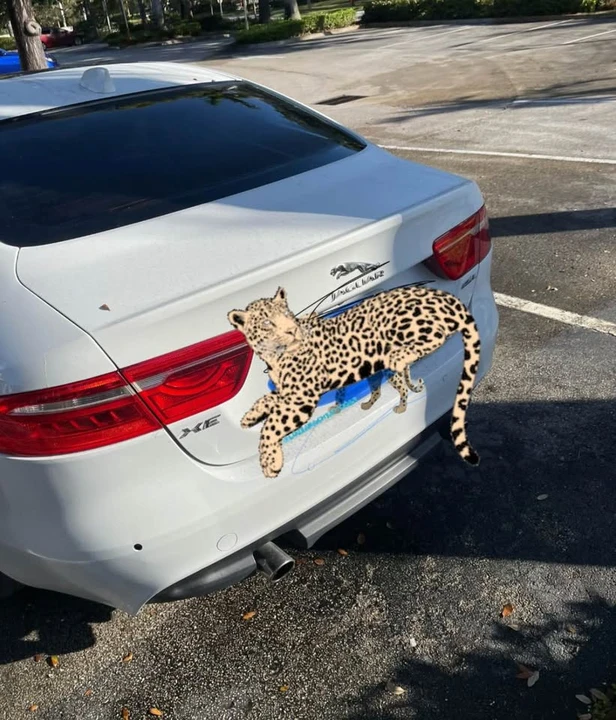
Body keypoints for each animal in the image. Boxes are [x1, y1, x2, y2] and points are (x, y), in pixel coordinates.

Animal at [228, 285, 481, 479]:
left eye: (287, 316)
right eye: (267, 323)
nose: (292, 331)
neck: (274, 356)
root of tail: (443, 296)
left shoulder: (301, 397)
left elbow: (271, 426)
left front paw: (271, 463)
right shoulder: (288, 392)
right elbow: (265, 400)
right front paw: (249, 417)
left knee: (435, 336)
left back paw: (398, 361)